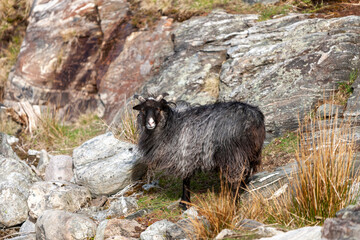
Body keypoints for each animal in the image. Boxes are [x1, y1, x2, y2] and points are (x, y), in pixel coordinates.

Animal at [132, 94, 264, 210]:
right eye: (143, 110)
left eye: (158, 109)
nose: (150, 123)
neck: (169, 127)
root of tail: (253, 117)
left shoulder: (184, 156)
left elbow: (186, 180)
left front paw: (185, 203)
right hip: (252, 152)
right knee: (245, 174)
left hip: (233, 154)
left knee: (237, 178)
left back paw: (234, 202)